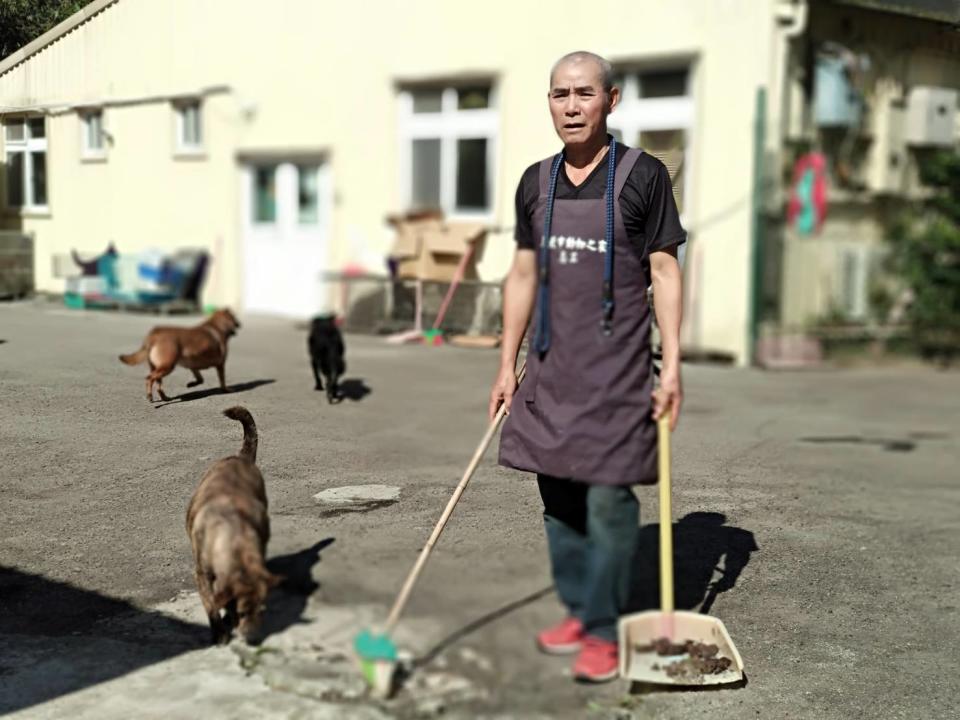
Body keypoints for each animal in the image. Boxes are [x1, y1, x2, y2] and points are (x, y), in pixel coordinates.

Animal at [185, 404, 280, 648]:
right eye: (242, 612)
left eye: (262, 612)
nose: (254, 640)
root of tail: (241, 458)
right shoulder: (201, 575)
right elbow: (211, 604)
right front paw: (219, 632)